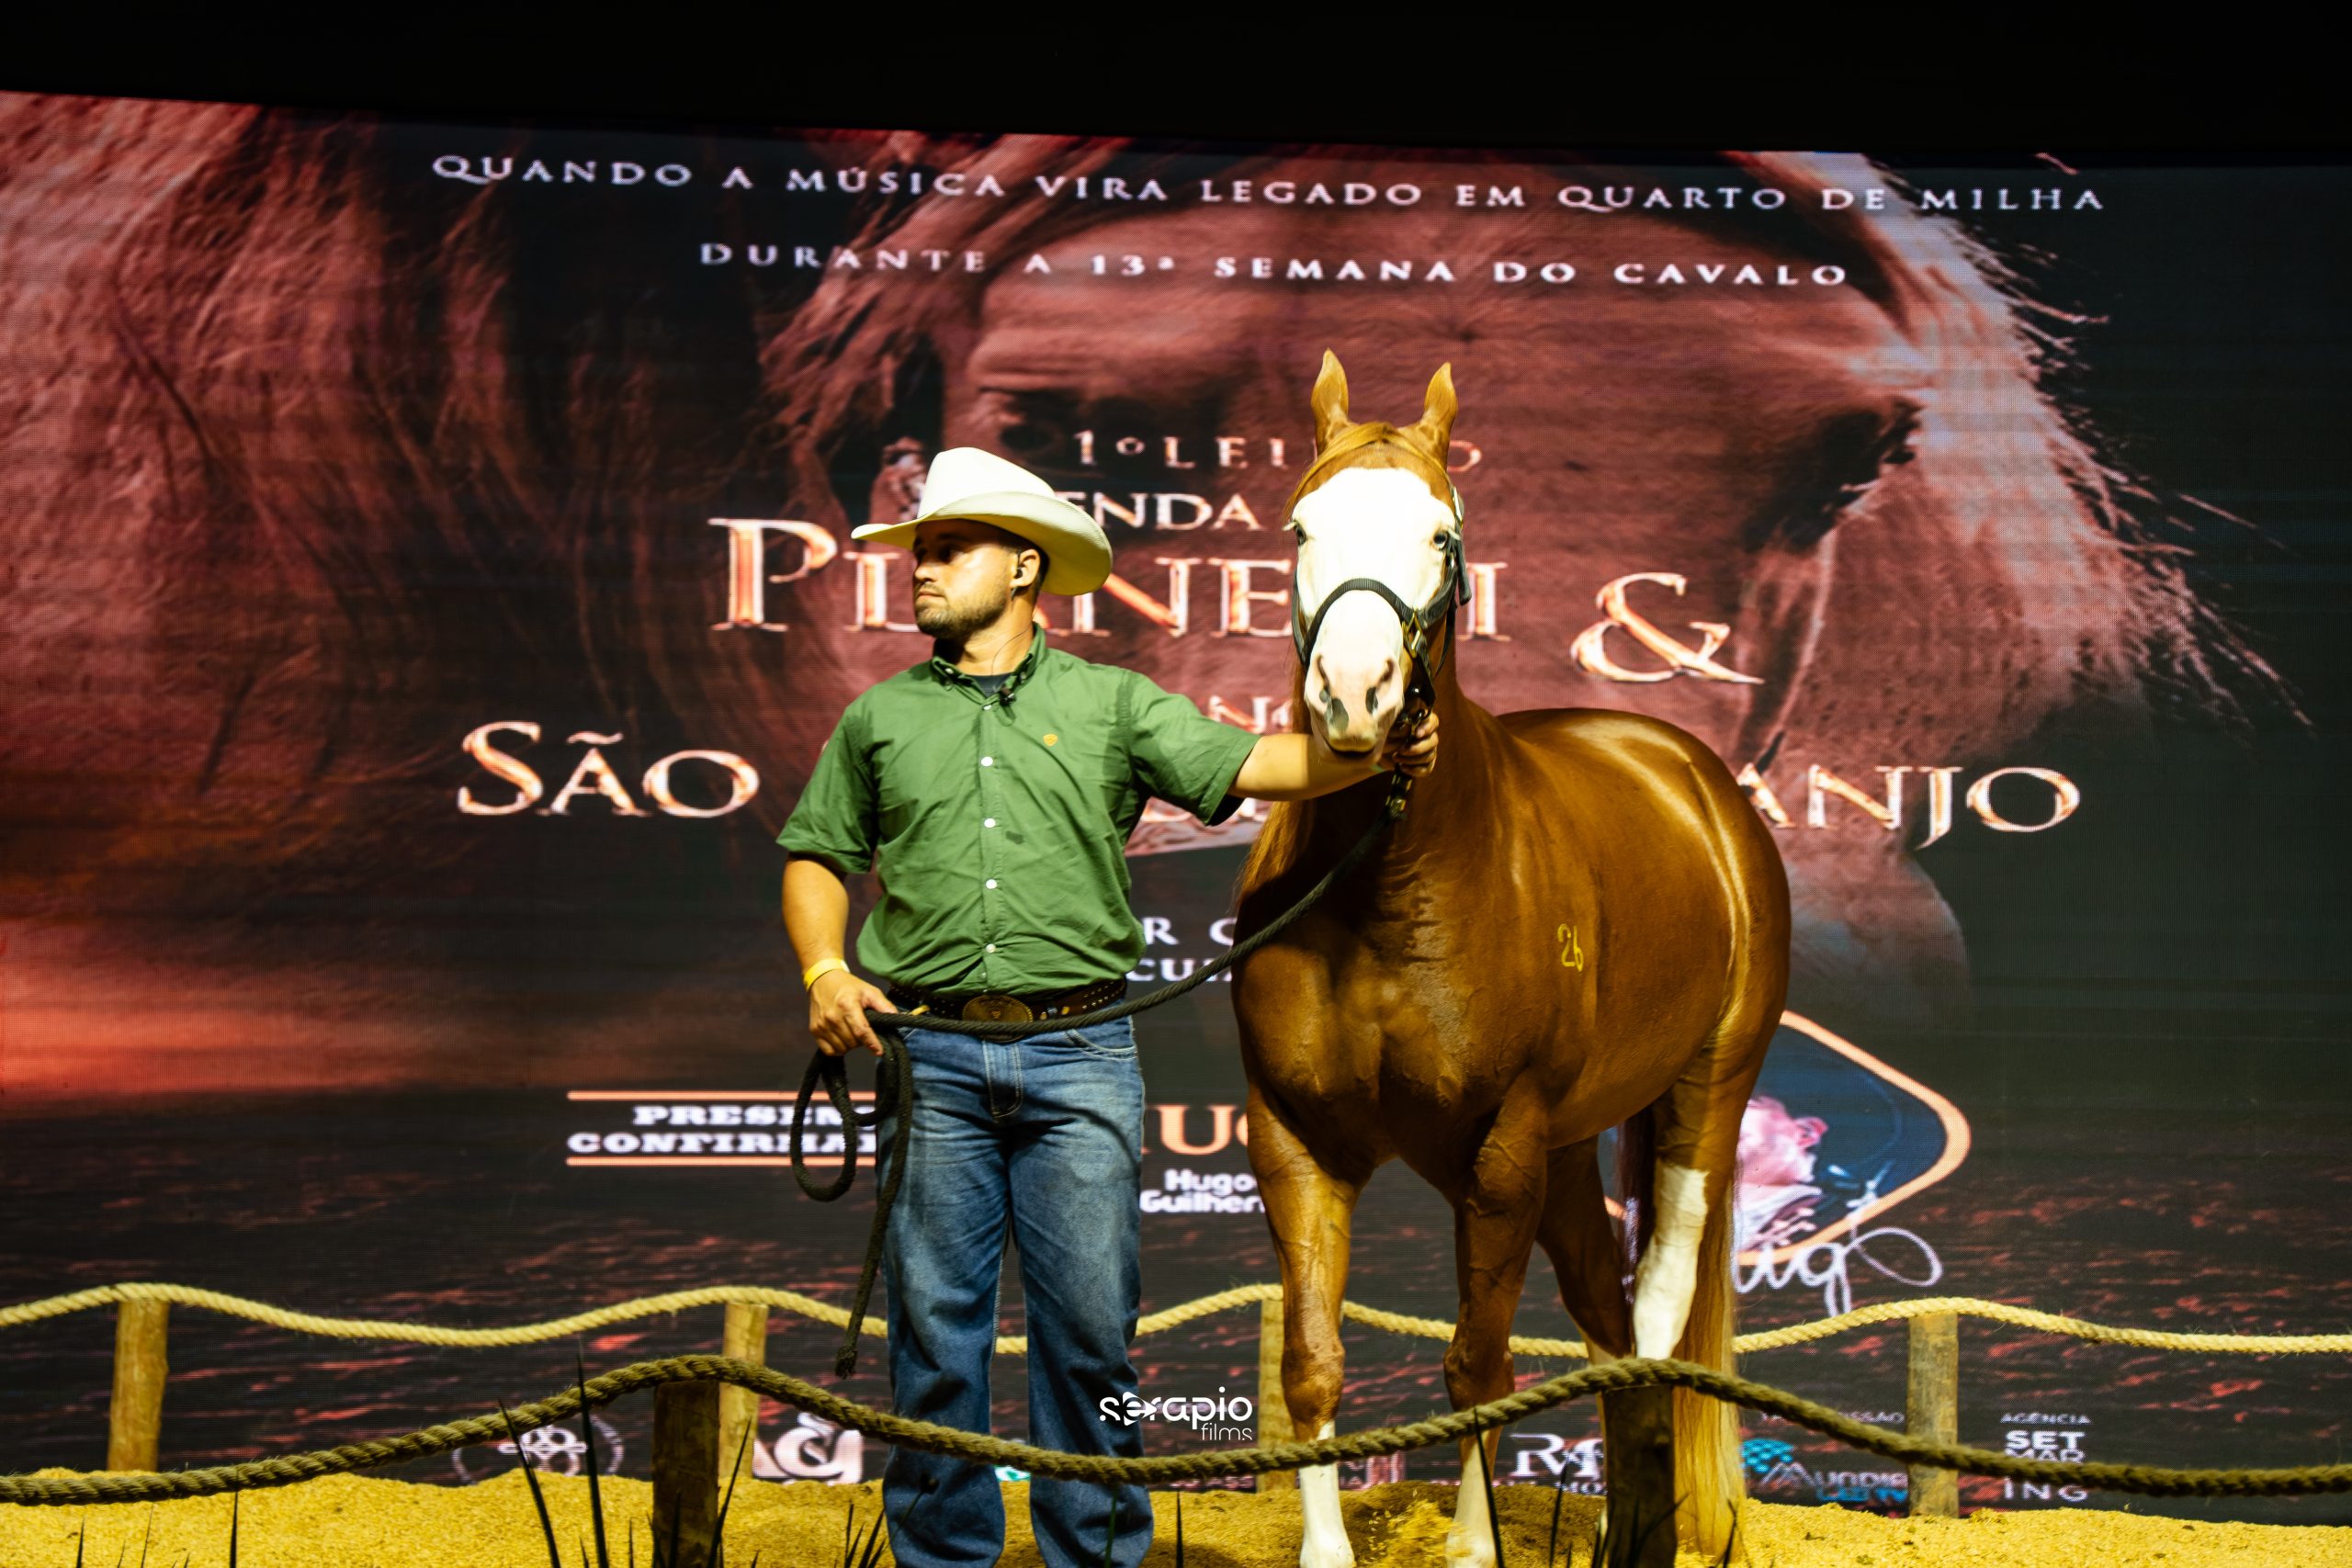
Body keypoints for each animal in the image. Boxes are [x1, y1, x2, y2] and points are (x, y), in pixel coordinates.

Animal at [1232, 353, 1792, 1565]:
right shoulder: (1294, 1137)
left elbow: (1477, 1367)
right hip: (1569, 1157)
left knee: (1652, 1317)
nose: (1356, 692)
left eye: (1443, 533)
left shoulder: (1501, 1147)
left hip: (1697, 1100)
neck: (1386, 886)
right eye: (1299, 526)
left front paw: (1474, 1547)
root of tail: (1695, 780)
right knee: (1608, 1328)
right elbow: (1312, 1365)